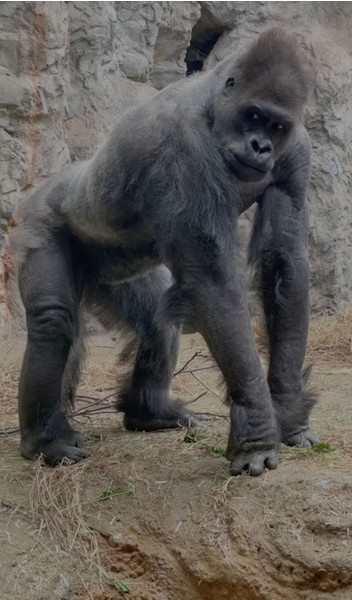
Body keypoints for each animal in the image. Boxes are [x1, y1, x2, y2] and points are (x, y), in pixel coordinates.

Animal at [15, 28, 318, 476]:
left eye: (277, 125)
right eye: (253, 116)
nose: (261, 146)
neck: (213, 107)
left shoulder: (297, 148)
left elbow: (284, 263)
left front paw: (288, 411)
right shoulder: (183, 149)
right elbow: (214, 284)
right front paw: (257, 430)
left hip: (112, 270)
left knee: (155, 320)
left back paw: (149, 412)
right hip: (39, 218)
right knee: (53, 324)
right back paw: (45, 440)